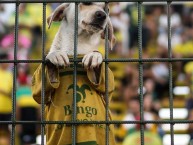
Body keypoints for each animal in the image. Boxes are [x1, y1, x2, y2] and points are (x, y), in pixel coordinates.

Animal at [31, 2, 116, 145]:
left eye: (107, 9)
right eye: (86, 3)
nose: (102, 15)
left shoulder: (106, 98)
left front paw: (94, 56)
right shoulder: (44, 98)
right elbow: (39, 92)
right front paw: (55, 56)